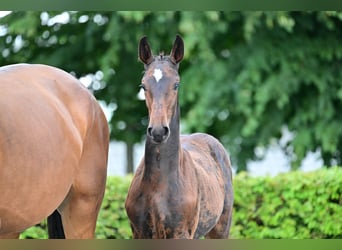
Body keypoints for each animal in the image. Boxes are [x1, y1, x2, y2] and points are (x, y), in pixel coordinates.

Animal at [125, 35, 235, 238]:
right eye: (143, 85)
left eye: (176, 84)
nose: (158, 131)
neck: (158, 185)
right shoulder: (139, 232)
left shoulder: (180, 233)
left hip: (220, 229)